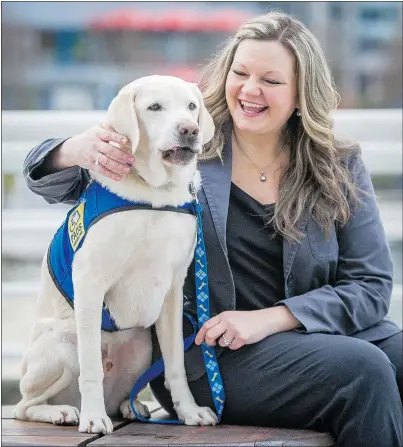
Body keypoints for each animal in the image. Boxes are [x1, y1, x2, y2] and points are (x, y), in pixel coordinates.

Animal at [15, 76, 218, 434]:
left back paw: (130, 406)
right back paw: (64, 411)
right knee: (24, 406)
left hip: (141, 346)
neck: (156, 196)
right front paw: (94, 418)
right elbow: (91, 369)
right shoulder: (89, 280)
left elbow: (176, 364)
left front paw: (190, 411)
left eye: (192, 106)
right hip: (60, 347)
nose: (190, 129)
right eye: (154, 107)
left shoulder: (173, 291)